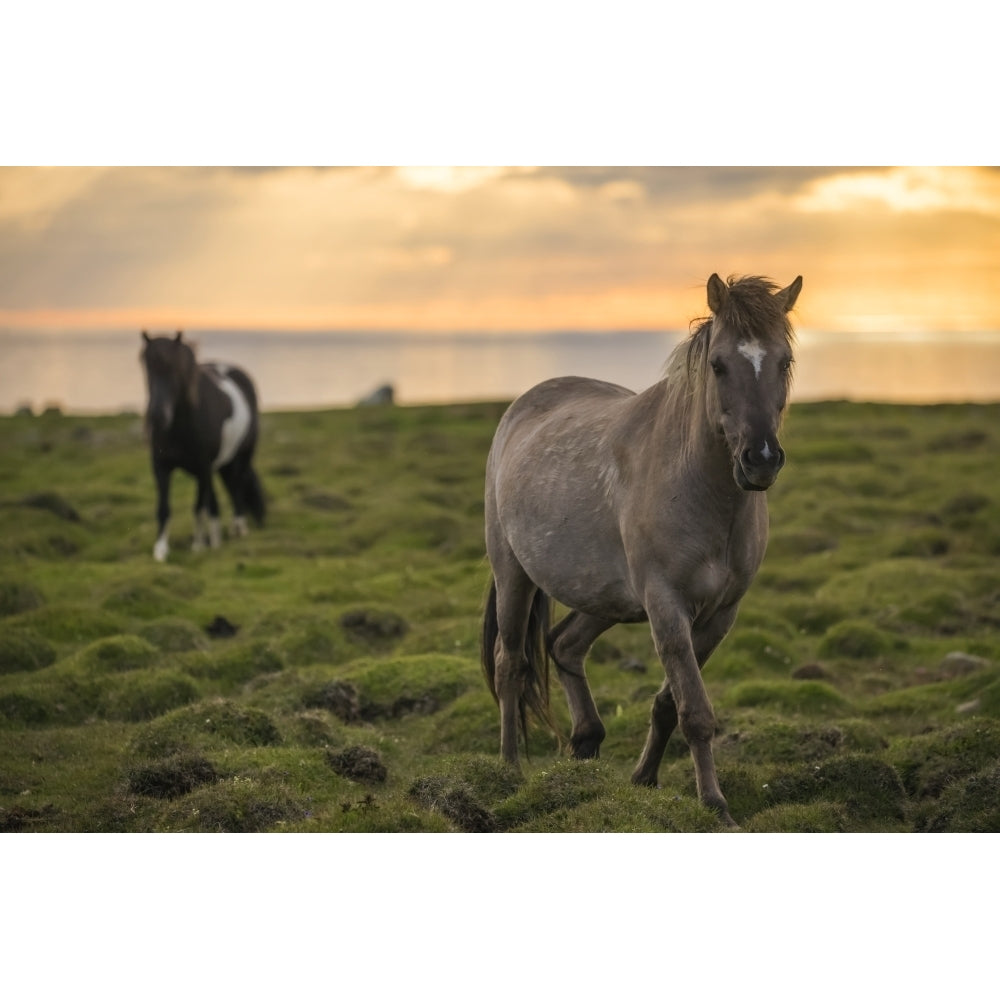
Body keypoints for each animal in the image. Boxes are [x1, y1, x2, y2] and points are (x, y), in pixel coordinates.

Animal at [142, 330, 266, 560]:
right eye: (146, 366)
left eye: (175, 368)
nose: (157, 415)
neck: (179, 427)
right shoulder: (161, 466)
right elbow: (164, 507)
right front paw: (161, 549)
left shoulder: (203, 467)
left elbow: (198, 506)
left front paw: (198, 546)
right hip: (221, 466)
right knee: (220, 496)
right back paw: (218, 537)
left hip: (242, 456)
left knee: (237, 486)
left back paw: (238, 527)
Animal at [480, 270, 800, 824]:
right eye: (718, 365)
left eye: (784, 361)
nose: (760, 459)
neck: (701, 490)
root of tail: (522, 407)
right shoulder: (667, 606)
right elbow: (695, 711)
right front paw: (715, 807)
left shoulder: (717, 616)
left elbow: (670, 704)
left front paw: (644, 779)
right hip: (514, 575)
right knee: (510, 665)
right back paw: (510, 767)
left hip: (606, 597)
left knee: (564, 645)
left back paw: (586, 742)